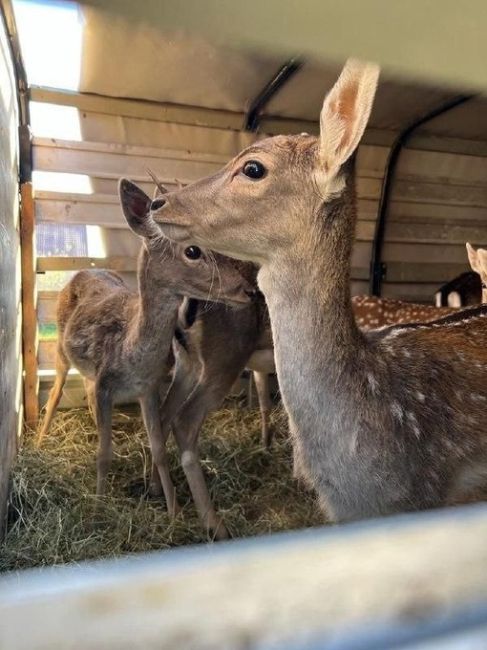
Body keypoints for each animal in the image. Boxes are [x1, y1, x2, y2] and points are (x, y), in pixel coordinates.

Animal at [37, 176, 255, 512]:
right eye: (193, 250)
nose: (247, 289)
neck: (133, 355)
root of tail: (83, 270)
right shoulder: (106, 386)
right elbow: (104, 454)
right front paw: (98, 504)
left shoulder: (149, 388)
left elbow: (159, 448)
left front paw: (173, 510)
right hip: (60, 349)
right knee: (55, 391)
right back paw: (40, 439)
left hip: (89, 371)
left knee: (85, 388)